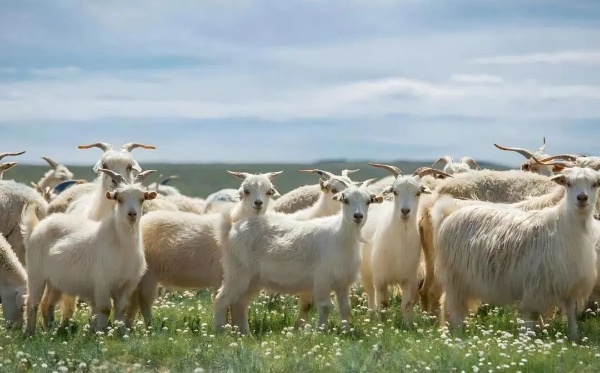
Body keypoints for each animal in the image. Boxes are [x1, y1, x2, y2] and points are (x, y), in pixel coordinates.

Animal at [21, 167, 158, 332]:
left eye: (142, 199)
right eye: (119, 199)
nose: (132, 214)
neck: (121, 245)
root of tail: (37, 227)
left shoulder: (127, 285)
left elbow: (121, 309)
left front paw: (120, 332)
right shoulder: (102, 283)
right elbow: (104, 309)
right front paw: (101, 332)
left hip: (55, 281)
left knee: (47, 303)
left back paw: (51, 330)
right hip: (36, 273)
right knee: (32, 302)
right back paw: (30, 332)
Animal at [214, 179, 384, 332]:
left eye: (368, 201)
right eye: (346, 200)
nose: (358, 216)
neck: (340, 235)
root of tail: (231, 229)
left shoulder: (342, 282)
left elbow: (345, 308)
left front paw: (346, 331)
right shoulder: (322, 280)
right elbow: (325, 306)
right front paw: (322, 331)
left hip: (252, 279)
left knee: (239, 304)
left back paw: (244, 333)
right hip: (237, 272)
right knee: (221, 299)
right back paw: (220, 332)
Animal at [432, 167, 600, 342]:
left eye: (595, 184)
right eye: (568, 183)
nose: (582, 198)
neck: (566, 227)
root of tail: (449, 212)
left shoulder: (569, 283)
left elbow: (571, 314)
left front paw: (574, 337)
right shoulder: (535, 285)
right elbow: (529, 316)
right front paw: (527, 339)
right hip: (455, 276)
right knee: (453, 305)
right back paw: (457, 332)